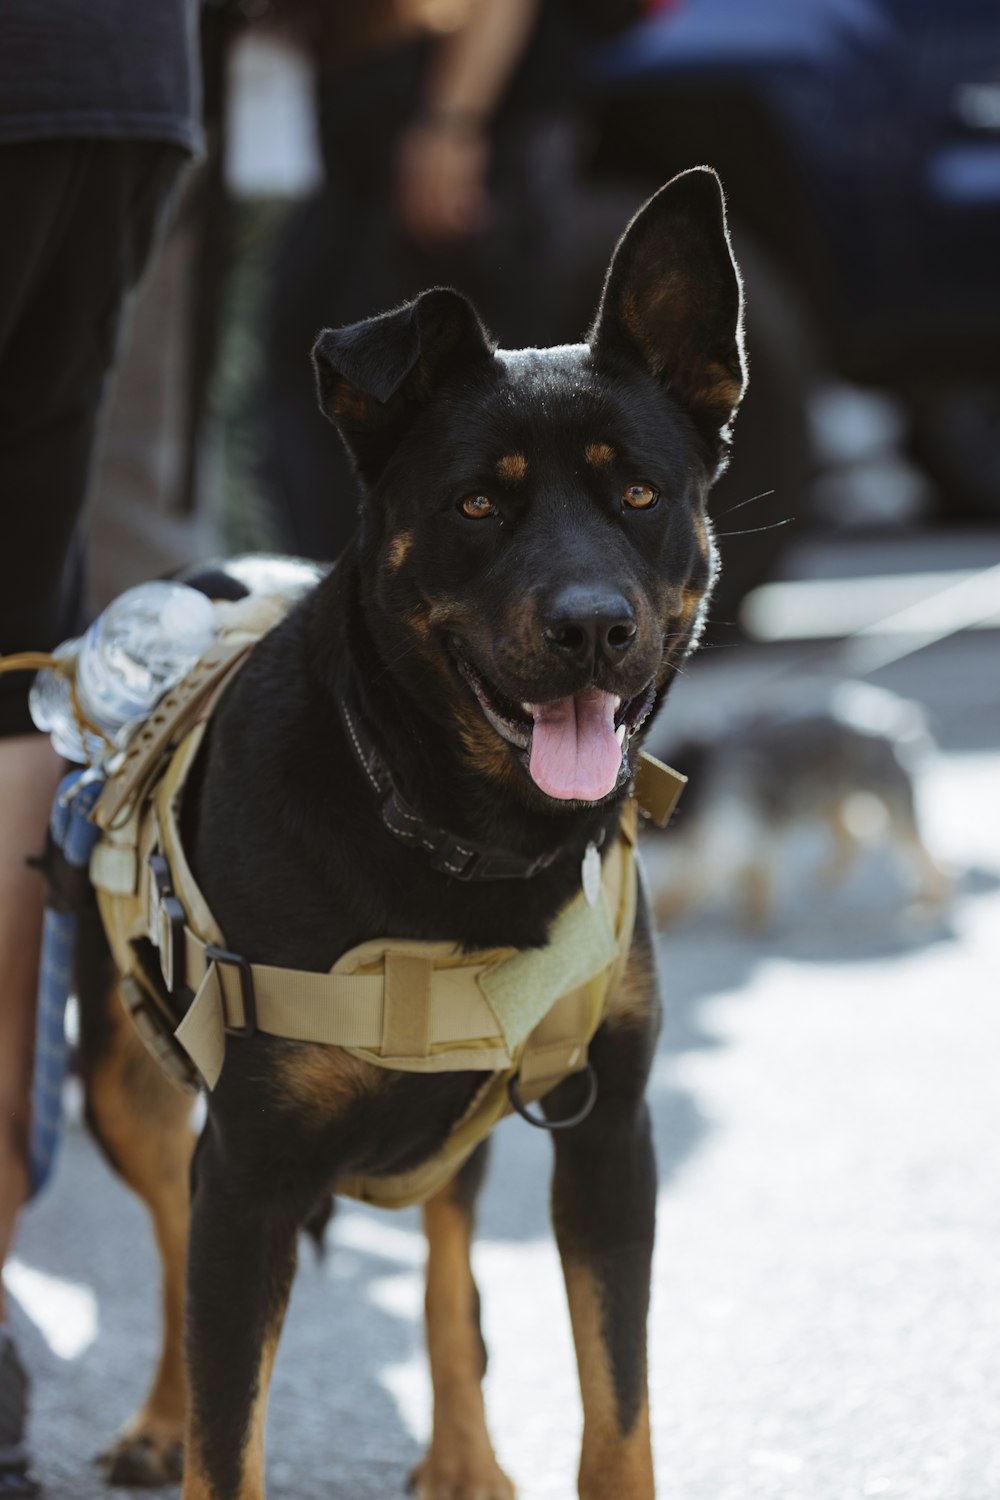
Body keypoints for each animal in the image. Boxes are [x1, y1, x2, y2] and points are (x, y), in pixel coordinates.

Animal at [76, 170, 743, 1494]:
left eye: (640, 495)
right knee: (174, 1253)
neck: (462, 834)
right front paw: (193, 1427)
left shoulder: (612, 1139)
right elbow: (228, 1430)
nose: (593, 628)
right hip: (122, 1079)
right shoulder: (249, 1174)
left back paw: (464, 1456)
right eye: (476, 503)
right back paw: (160, 1417)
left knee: (449, 1267)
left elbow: (616, 1409)